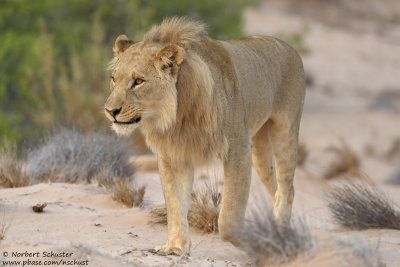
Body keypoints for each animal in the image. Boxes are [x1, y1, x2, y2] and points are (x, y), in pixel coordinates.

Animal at [104, 17, 304, 256]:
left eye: (138, 81)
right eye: (114, 79)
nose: (110, 111)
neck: (177, 114)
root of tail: (289, 47)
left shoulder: (238, 148)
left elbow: (229, 213)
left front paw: (250, 240)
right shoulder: (173, 156)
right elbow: (175, 204)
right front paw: (176, 246)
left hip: (285, 132)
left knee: (287, 189)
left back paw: (280, 237)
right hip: (260, 151)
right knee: (276, 189)